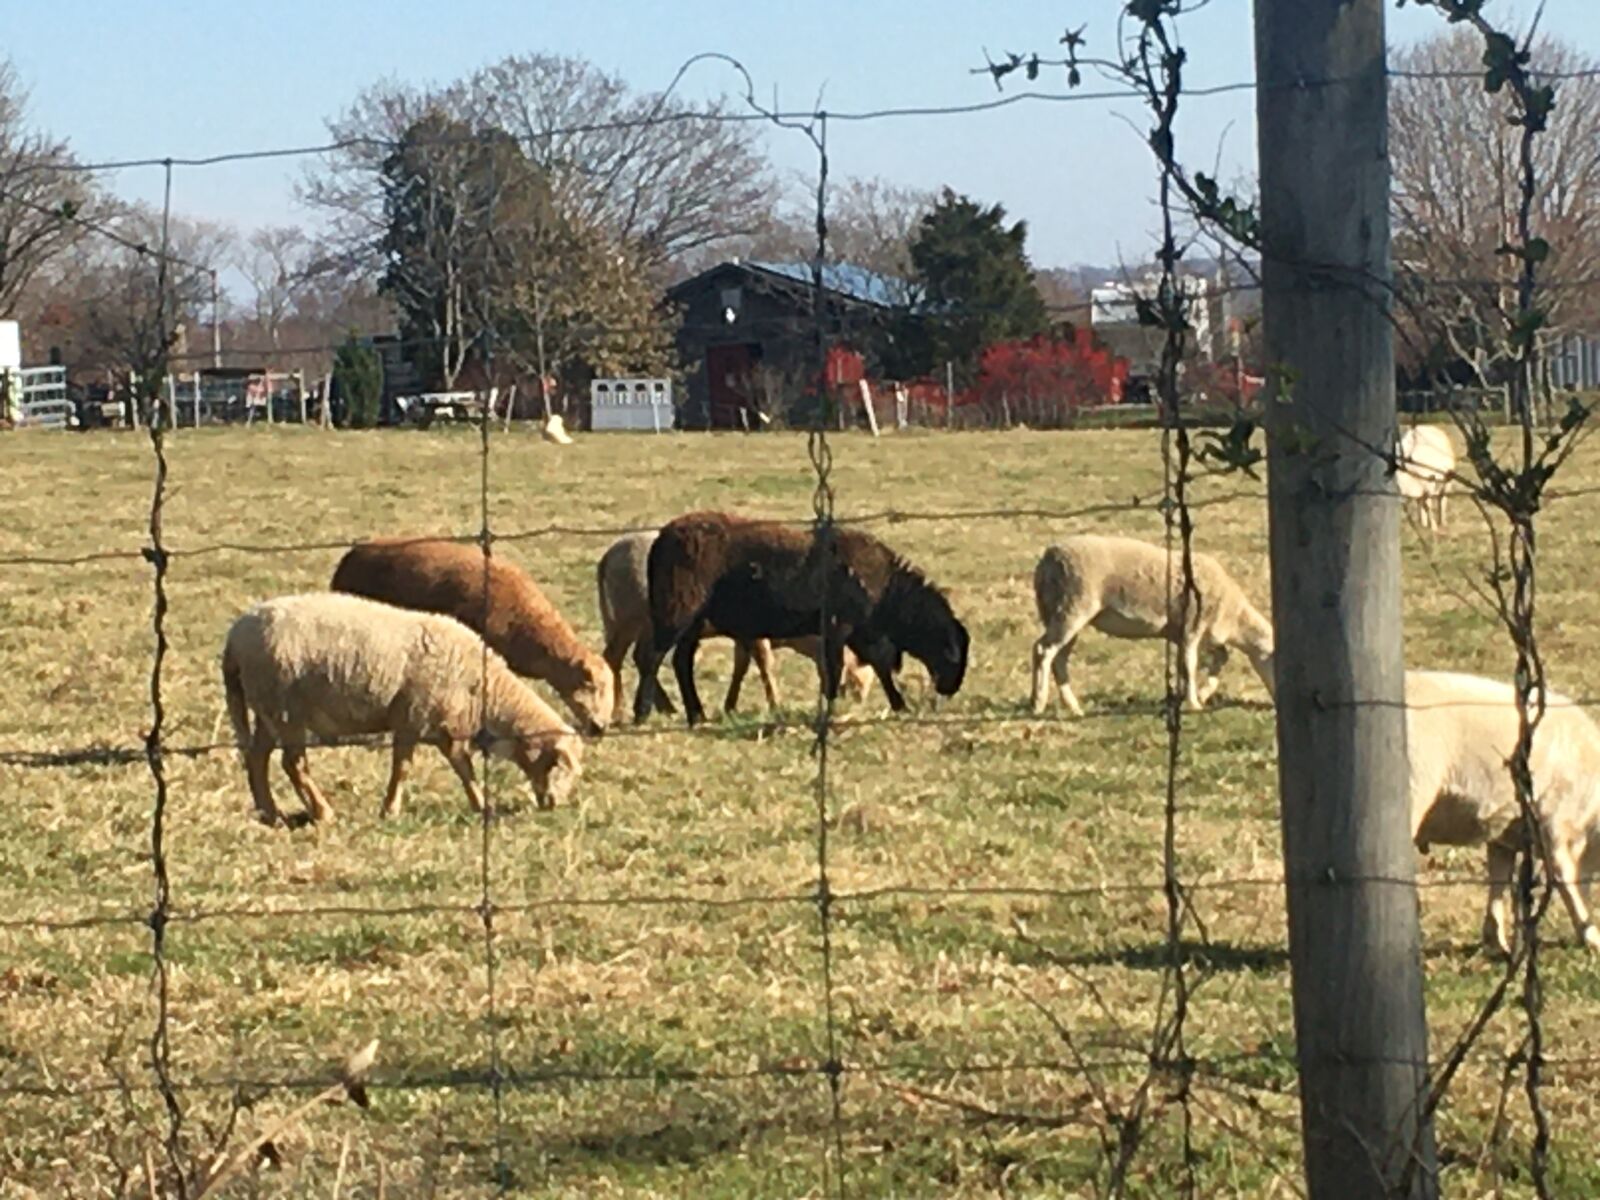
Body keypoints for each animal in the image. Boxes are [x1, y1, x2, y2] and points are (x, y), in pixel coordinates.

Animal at [219, 592, 582, 825]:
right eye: (558, 765)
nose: (555, 805)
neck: (485, 691)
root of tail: (234, 638)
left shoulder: (443, 724)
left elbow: (461, 766)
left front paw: (480, 805)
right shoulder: (413, 717)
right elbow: (405, 767)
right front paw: (391, 810)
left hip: (265, 709)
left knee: (257, 758)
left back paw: (270, 813)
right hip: (284, 708)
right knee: (293, 763)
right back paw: (323, 813)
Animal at [1030, 537, 1280, 723]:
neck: (1233, 616)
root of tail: (1046, 560)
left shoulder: (1191, 634)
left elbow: (1214, 659)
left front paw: (1199, 694)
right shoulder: (1191, 627)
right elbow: (1191, 665)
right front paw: (1194, 703)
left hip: (1059, 611)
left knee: (1057, 657)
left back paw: (1072, 707)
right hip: (1073, 606)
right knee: (1044, 650)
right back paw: (1039, 703)